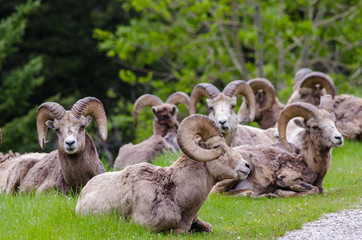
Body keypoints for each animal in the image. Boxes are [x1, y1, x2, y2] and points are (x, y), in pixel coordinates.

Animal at [214, 95, 344, 197]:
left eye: (334, 122)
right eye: (315, 126)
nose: (338, 138)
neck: (309, 162)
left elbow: (321, 190)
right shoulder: (288, 179)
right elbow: (314, 190)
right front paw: (280, 192)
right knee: (218, 193)